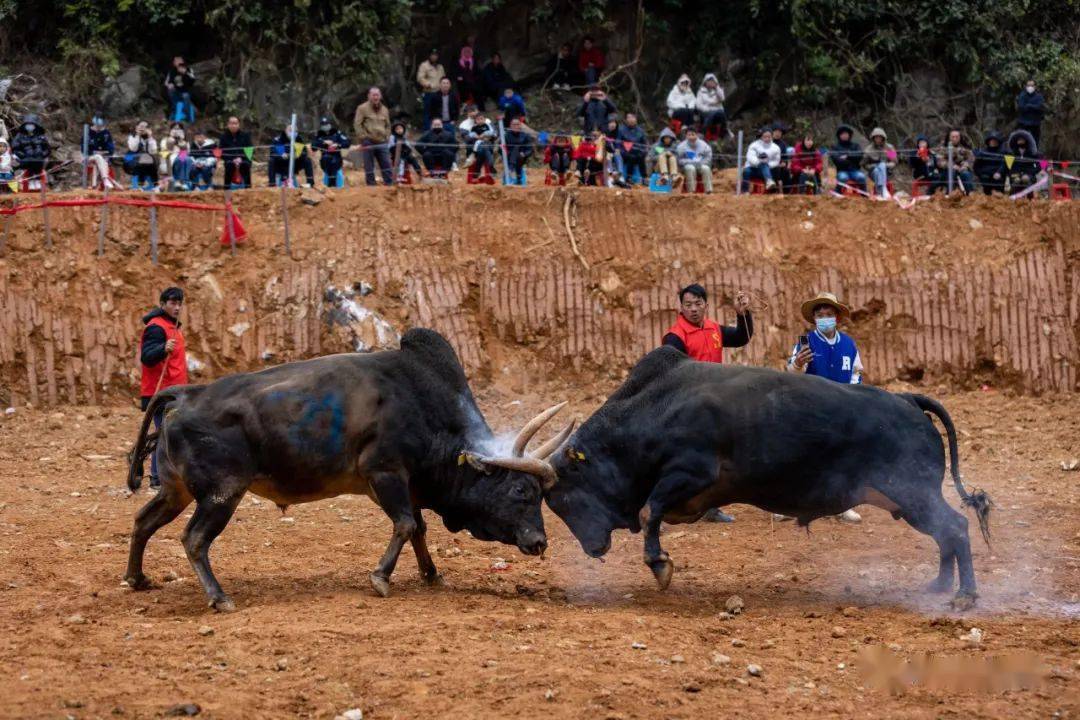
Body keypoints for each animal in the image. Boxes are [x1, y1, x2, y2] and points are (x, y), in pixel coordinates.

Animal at [122, 330, 570, 613]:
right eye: (521, 491)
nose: (539, 542)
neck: (424, 408)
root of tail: (184, 394)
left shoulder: (404, 484)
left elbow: (419, 529)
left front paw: (431, 574)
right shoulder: (385, 474)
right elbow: (406, 525)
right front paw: (381, 578)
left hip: (176, 491)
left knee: (143, 521)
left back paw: (137, 578)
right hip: (221, 493)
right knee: (195, 539)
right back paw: (218, 597)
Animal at [544, 349, 989, 608]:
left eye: (563, 493)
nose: (593, 547)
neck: (656, 407)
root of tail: (909, 401)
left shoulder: (690, 472)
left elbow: (649, 512)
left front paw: (659, 564)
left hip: (913, 494)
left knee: (955, 526)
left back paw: (964, 595)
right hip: (908, 501)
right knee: (946, 532)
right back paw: (939, 586)